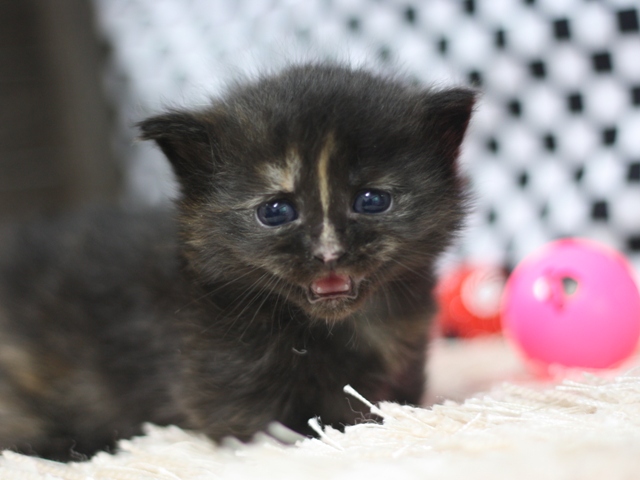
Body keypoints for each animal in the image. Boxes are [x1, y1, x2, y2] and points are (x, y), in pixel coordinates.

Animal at [0, 63, 476, 462]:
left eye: (372, 201)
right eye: (276, 210)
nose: (328, 253)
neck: (336, 327)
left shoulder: (404, 358)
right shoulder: (222, 375)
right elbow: (264, 433)